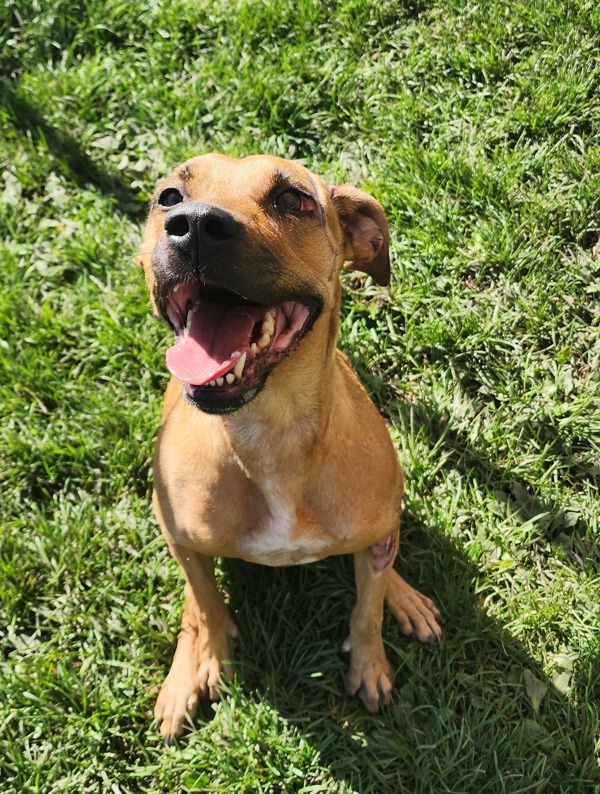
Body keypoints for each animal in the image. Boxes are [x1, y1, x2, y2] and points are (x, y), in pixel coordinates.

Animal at [139, 153, 440, 744]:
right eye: (168, 196)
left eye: (293, 199)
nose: (194, 225)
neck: (269, 430)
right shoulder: (181, 532)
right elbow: (206, 606)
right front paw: (212, 657)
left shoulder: (373, 536)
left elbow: (366, 611)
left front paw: (369, 664)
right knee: (194, 594)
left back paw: (404, 597)